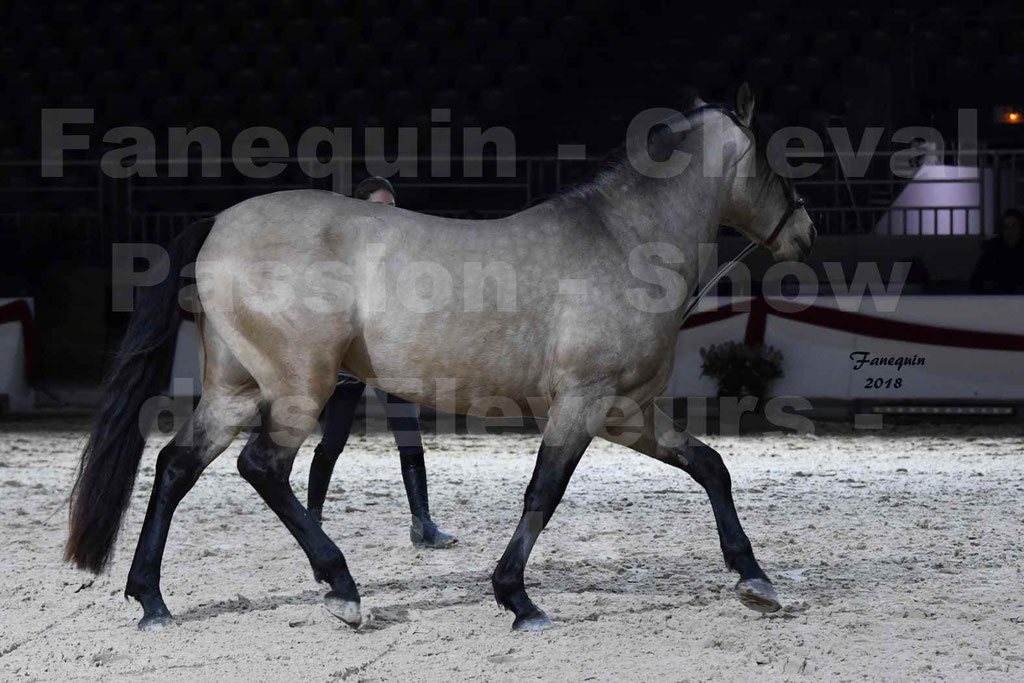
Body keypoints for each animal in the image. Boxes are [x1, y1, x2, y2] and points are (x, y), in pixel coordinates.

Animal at [65, 84, 815, 632]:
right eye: (775, 160)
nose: (805, 231)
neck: (620, 242)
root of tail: (221, 223)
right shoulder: (582, 402)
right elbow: (544, 492)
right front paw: (517, 598)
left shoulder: (626, 410)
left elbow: (709, 466)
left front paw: (755, 579)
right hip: (298, 388)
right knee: (262, 467)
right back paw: (342, 587)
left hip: (236, 389)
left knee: (176, 466)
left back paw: (152, 600)